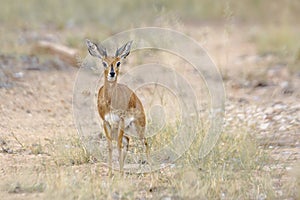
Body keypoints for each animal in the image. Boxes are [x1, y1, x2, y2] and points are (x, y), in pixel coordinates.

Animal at [85, 39, 149, 175]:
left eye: (118, 62)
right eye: (104, 63)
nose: (112, 73)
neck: (110, 101)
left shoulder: (121, 120)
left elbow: (118, 145)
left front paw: (119, 174)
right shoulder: (106, 122)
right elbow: (110, 146)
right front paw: (110, 174)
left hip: (137, 127)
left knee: (144, 142)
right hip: (121, 128)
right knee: (127, 140)